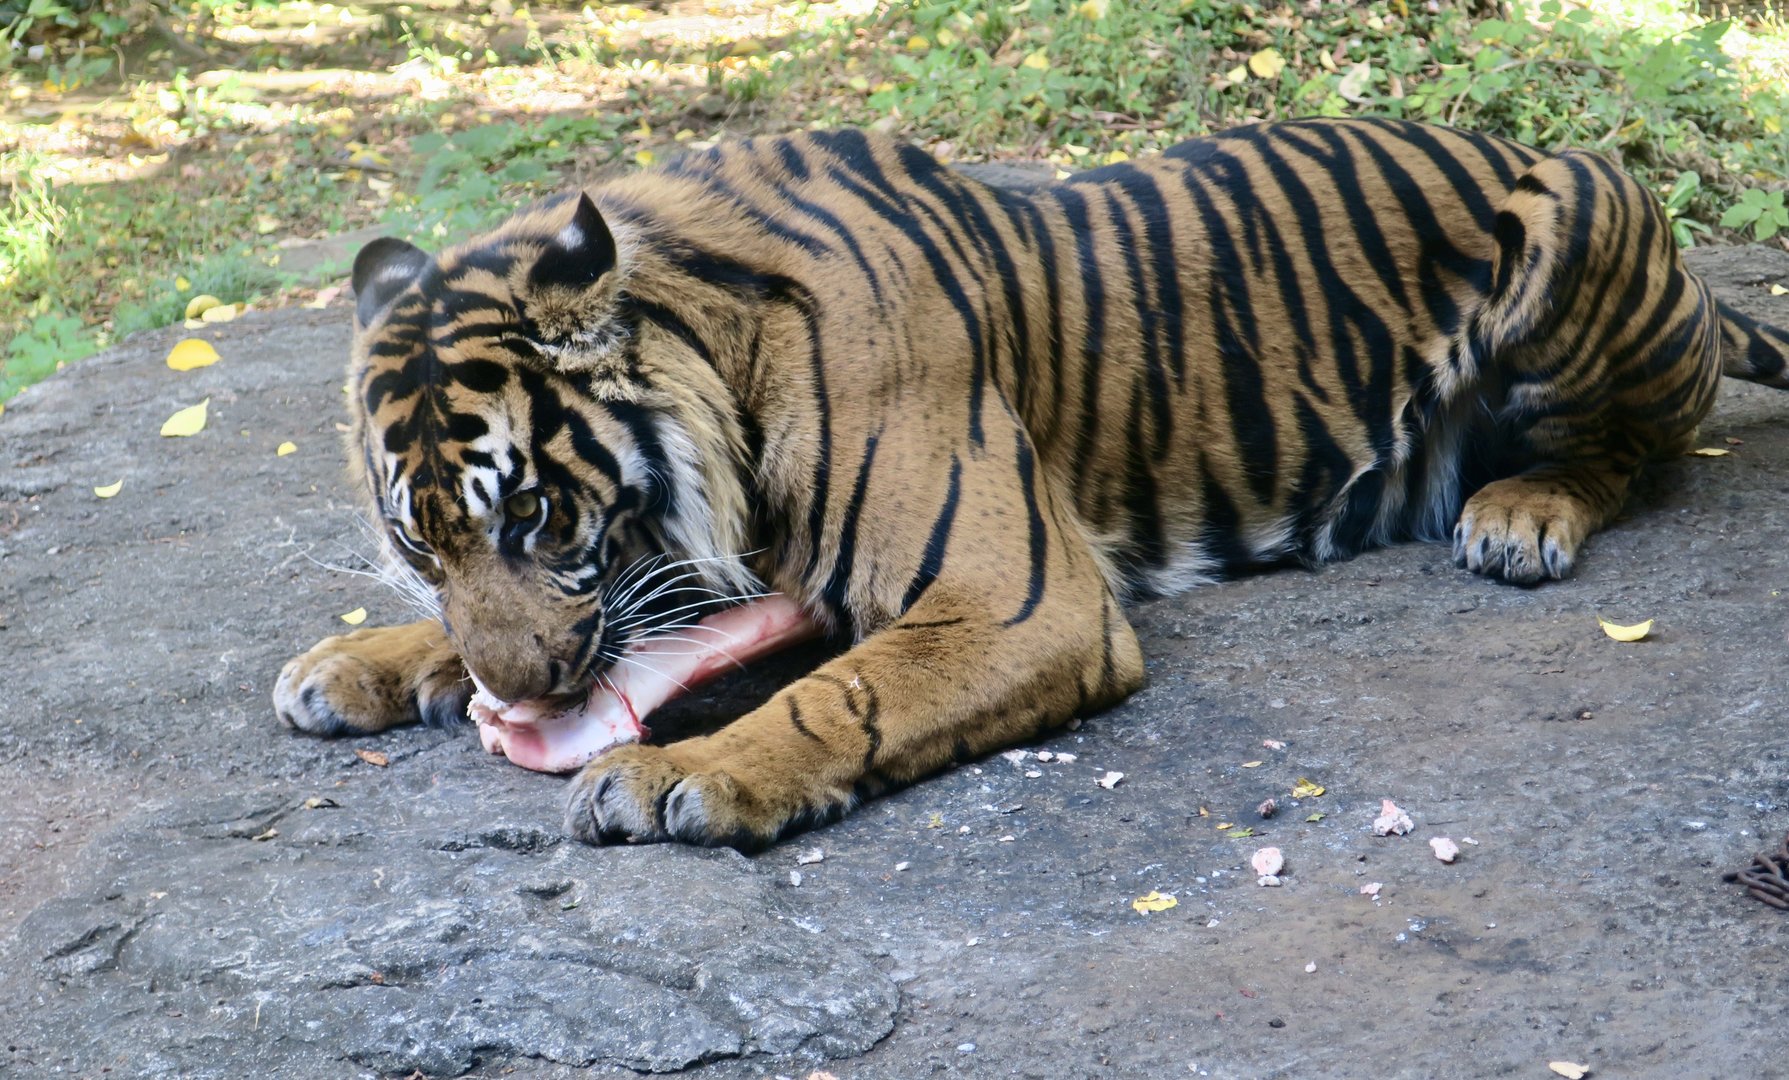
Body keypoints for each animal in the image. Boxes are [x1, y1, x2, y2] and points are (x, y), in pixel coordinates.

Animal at [272, 117, 1789, 850]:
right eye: (423, 547)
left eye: (532, 512)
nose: (521, 701)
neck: (720, 356)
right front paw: (361, 662)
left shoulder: (1013, 595)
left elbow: (838, 695)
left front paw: (675, 779)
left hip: (1575, 224)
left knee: (1639, 448)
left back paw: (1521, 513)